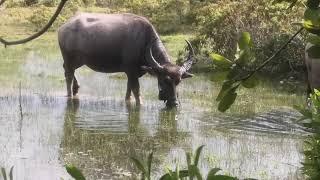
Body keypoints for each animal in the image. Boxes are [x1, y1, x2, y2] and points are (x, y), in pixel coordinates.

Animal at [58, 13, 195, 107]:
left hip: (79, 61)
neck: (143, 43)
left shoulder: (131, 73)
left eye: (178, 81)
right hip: (69, 58)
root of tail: (63, 27)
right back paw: (70, 94)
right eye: (164, 80)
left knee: (67, 70)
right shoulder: (132, 71)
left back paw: (76, 88)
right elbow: (137, 91)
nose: (174, 103)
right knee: (68, 75)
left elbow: (129, 90)